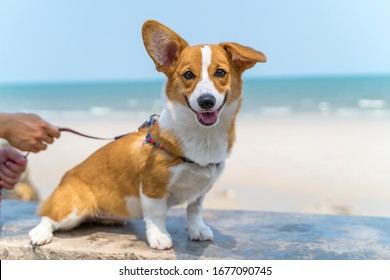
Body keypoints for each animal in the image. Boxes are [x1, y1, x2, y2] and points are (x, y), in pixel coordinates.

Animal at [29, 20, 266, 250]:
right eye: (188, 75)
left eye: (221, 73)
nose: (206, 101)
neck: (202, 137)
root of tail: (64, 179)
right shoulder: (153, 187)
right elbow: (156, 215)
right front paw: (159, 237)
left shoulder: (200, 191)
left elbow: (194, 209)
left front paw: (197, 230)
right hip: (73, 209)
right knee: (48, 217)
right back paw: (40, 233)